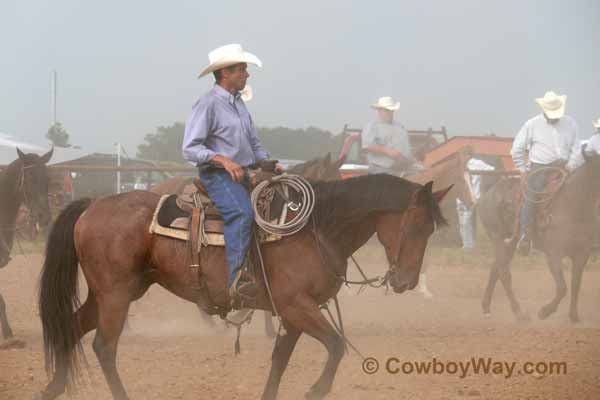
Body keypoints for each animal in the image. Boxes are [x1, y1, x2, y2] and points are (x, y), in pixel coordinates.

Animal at [36, 175, 450, 400]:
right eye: (416, 226)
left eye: (432, 230)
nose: (406, 281)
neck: (316, 229)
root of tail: (93, 205)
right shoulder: (298, 306)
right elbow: (336, 346)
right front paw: (316, 389)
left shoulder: (293, 314)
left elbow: (280, 360)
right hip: (116, 295)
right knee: (104, 347)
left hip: (110, 293)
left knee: (70, 327)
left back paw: (52, 387)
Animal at [478, 152, 600, 322]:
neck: (573, 204)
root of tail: (490, 191)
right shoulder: (554, 254)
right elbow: (562, 287)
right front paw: (545, 311)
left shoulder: (582, 254)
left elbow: (576, 285)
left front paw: (574, 316)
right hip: (497, 237)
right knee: (504, 274)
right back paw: (519, 313)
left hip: (510, 242)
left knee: (495, 269)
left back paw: (486, 307)